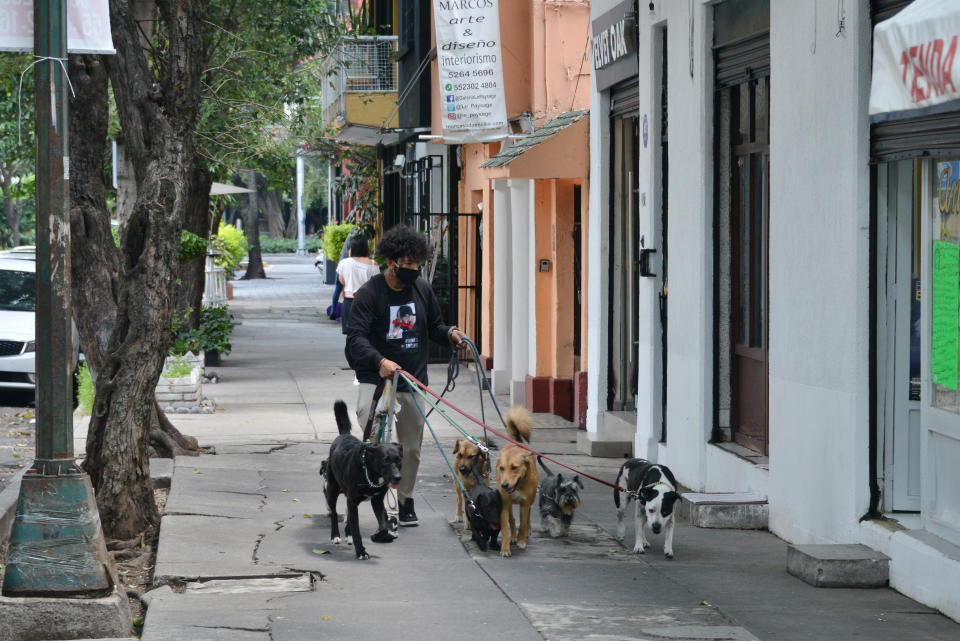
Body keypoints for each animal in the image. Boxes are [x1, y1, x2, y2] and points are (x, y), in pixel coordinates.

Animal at [318, 398, 402, 556]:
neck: (369, 473)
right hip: (332, 491)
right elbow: (356, 529)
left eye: (399, 460)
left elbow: (383, 525)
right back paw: (335, 535)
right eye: (385, 461)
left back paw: (348, 534)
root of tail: (344, 435)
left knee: (348, 518)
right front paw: (361, 552)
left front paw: (380, 536)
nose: (397, 478)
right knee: (334, 514)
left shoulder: (376, 501)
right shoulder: (352, 501)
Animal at [496, 404, 540, 556]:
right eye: (501, 468)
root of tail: (518, 443)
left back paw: (526, 532)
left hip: (531, 500)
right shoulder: (503, 505)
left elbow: (523, 522)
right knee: (512, 519)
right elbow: (505, 528)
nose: (504, 485)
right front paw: (505, 548)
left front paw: (522, 541)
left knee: (528, 517)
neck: (518, 485)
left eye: (514, 467)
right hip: (508, 504)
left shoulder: (525, 504)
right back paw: (514, 536)